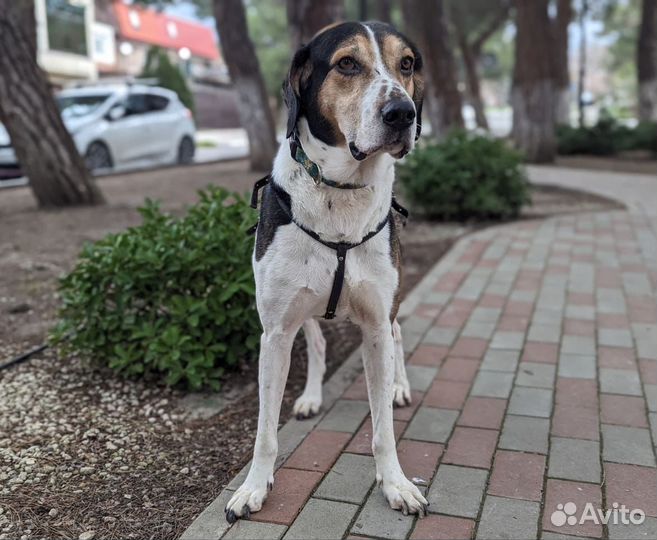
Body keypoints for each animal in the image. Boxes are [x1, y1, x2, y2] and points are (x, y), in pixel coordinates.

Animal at [226, 21, 428, 524]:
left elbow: (383, 428)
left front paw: (395, 483)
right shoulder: (275, 332)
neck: (341, 191)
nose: (403, 113)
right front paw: (253, 487)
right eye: (347, 63)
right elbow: (265, 430)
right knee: (316, 340)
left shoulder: (376, 323)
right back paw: (312, 396)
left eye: (407, 63)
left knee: (398, 336)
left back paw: (399, 387)